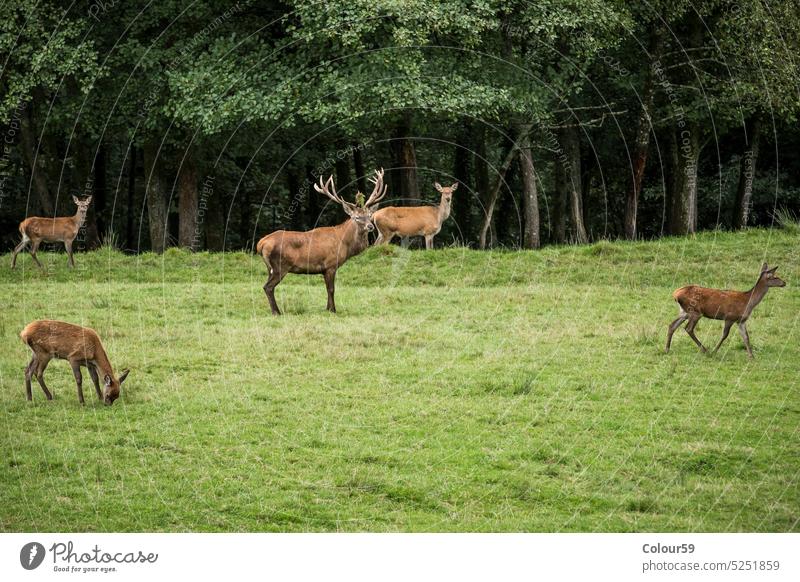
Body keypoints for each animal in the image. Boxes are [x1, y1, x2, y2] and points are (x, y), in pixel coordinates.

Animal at [256, 168, 388, 314]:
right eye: (357, 217)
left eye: (369, 215)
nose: (370, 226)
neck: (345, 244)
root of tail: (261, 243)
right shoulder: (330, 264)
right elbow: (331, 289)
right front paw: (333, 310)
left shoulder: (324, 269)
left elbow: (327, 289)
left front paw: (327, 308)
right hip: (280, 265)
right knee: (268, 287)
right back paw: (276, 312)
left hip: (270, 267)